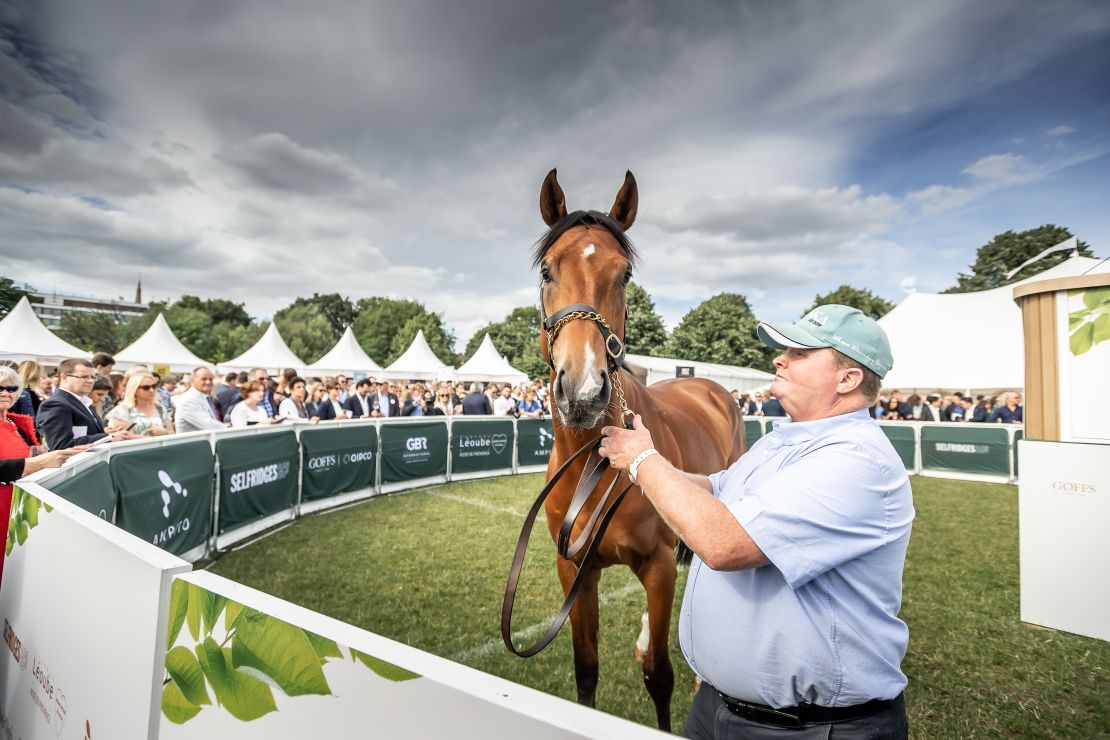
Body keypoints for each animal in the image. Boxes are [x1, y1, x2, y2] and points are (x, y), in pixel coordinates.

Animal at [532, 170, 741, 732]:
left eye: (624, 275)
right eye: (546, 270)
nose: (582, 392)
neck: (596, 465)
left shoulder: (658, 565)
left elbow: (659, 676)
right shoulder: (575, 572)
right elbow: (586, 669)